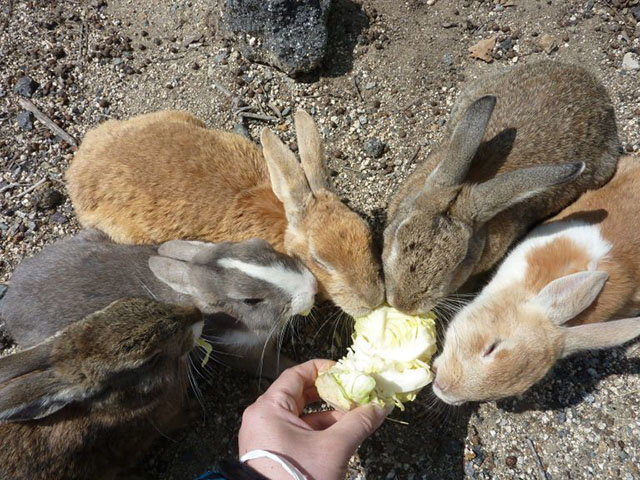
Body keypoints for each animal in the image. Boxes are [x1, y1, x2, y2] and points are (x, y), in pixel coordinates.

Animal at [0, 229, 317, 378]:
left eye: (260, 243)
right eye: (250, 300)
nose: (311, 287)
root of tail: (10, 302)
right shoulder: (240, 352)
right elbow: (277, 366)